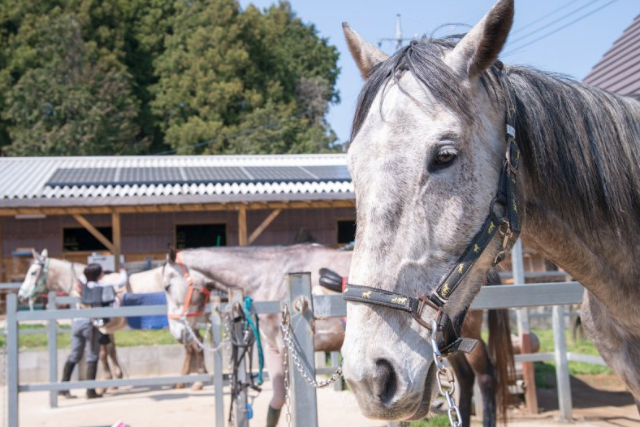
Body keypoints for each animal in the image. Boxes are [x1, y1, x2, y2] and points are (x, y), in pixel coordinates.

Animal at [163, 244, 513, 427]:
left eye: (166, 285)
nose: (177, 332)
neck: (269, 277)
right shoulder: (277, 352)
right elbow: (275, 404)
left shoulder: (283, 350)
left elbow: (281, 402)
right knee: (465, 379)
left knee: (485, 377)